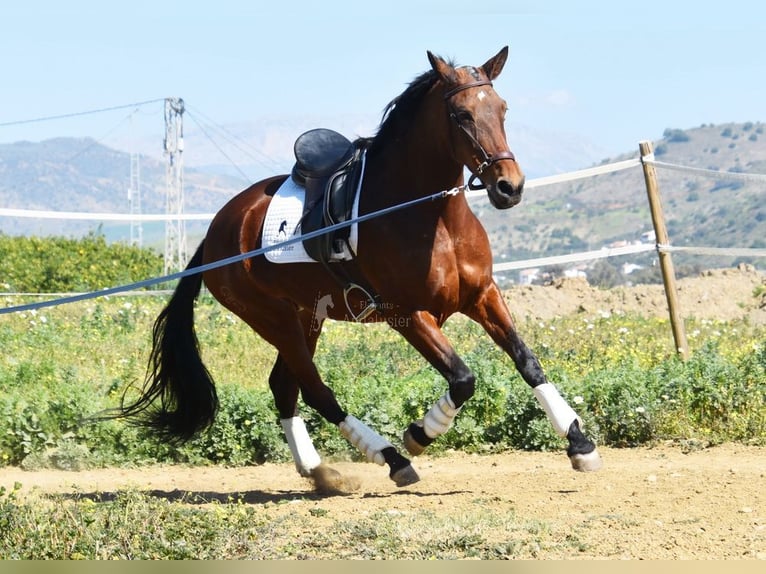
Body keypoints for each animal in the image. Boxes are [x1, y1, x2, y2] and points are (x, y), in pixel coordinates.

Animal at [120, 47, 604, 492]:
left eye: (502, 109)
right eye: (462, 114)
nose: (509, 187)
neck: (432, 217)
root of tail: (218, 229)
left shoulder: (482, 295)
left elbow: (528, 362)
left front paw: (580, 444)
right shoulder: (406, 313)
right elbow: (463, 379)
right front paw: (419, 434)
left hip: (305, 317)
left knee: (285, 386)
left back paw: (319, 472)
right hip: (273, 319)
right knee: (316, 391)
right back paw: (390, 458)